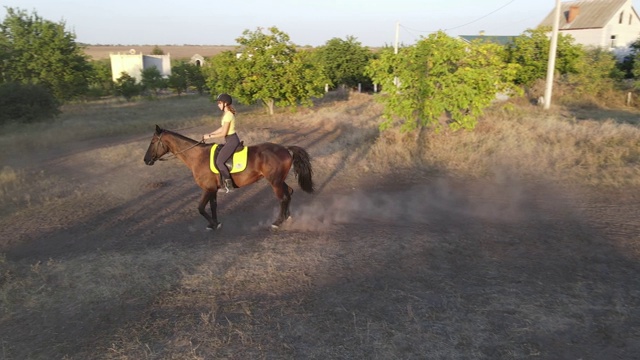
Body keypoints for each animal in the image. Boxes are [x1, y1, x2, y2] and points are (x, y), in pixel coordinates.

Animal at [144, 125, 316, 229]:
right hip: (279, 180)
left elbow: (200, 208)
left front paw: (213, 224)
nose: (146, 160)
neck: (197, 157)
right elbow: (213, 206)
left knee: (283, 198)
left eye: (152, 142)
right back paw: (287, 217)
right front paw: (215, 223)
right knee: (289, 193)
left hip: (275, 182)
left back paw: (278, 221)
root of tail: (285, 149)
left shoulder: (208, 189)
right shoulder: (213, 189)